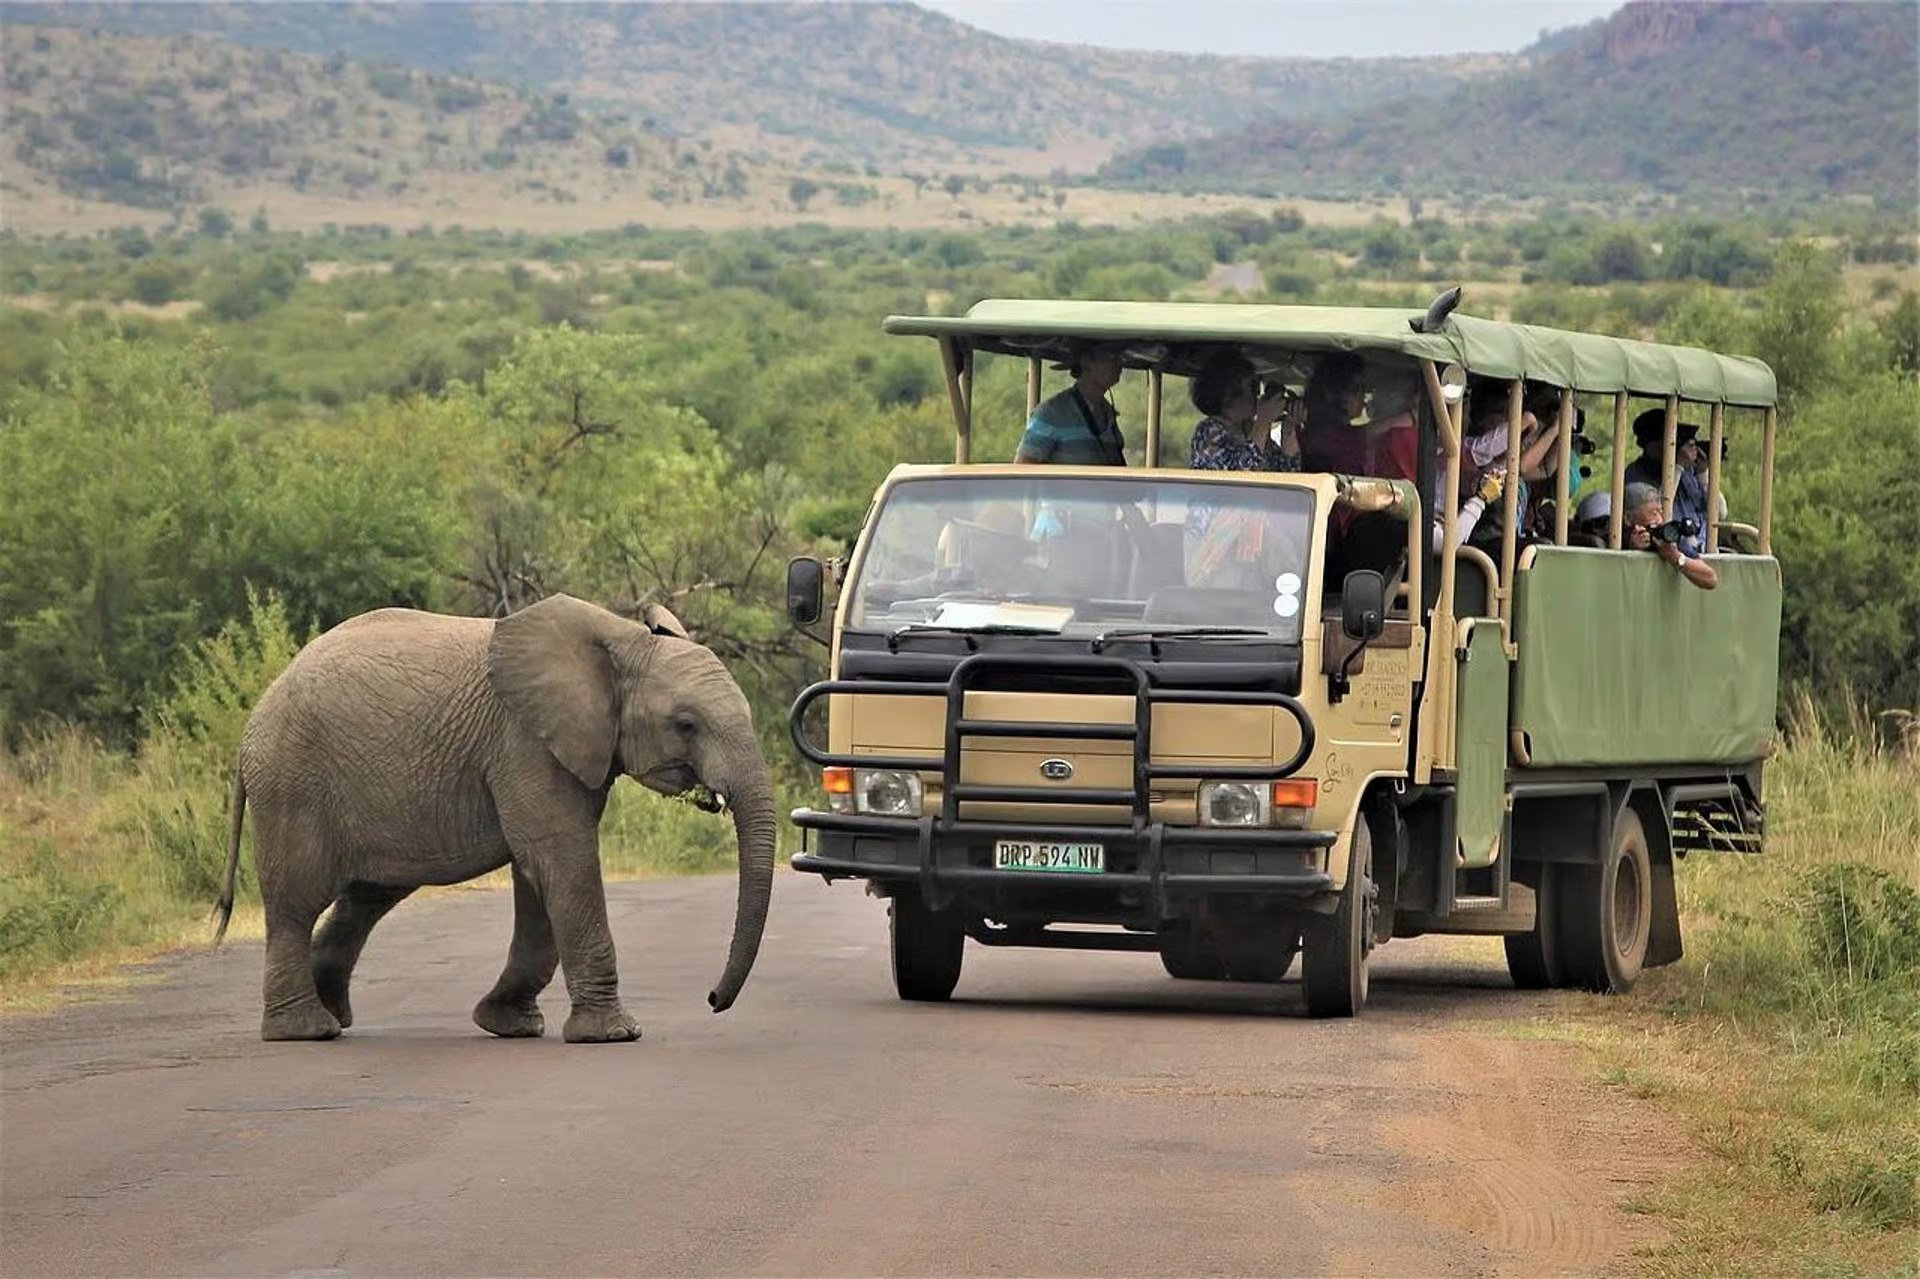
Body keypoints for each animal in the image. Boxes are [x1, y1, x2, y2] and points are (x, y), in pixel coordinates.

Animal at [211, 593, 776, 1043]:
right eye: (686, 724)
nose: (711, 1000)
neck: (622, 639)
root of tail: (251, 725)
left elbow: (540, 875)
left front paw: (508, 1025)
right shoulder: (524, 743)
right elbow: (562, 859)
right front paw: (614, 1035)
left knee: (368, 896)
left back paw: (333, 1015)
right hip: (292, 784)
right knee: (295, 903)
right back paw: (305, 1030)